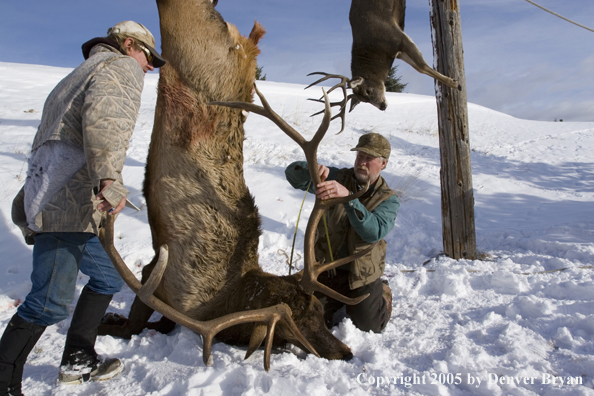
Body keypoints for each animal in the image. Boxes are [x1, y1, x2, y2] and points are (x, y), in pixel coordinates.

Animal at [99, 0, 372, 372]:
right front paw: (111, 322)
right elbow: (134, 325)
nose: (346, 352)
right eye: (293, 328)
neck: (230, 299)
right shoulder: (158, 276)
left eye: (318, 310)